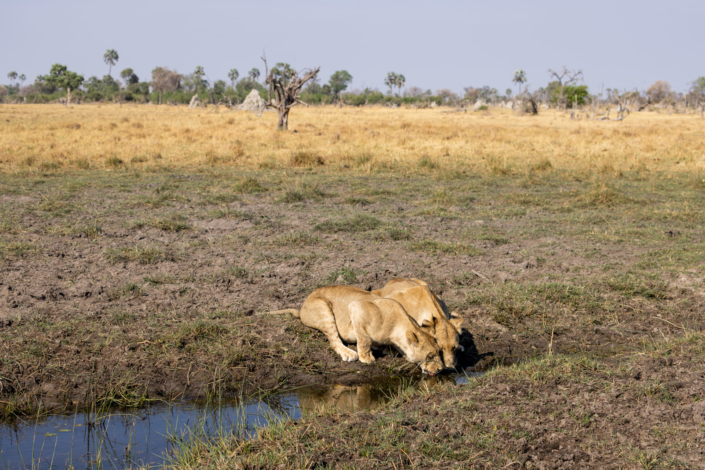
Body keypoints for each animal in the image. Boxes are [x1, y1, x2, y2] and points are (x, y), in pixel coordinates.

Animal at [268, 286, 440, 374]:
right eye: (430, 356)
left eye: (439, 352)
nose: (440, 369)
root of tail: (302, 307)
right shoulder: (356, 307)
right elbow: (364, 339)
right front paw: (367, 357)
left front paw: (389, 350)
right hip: (324, 309)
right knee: (334, 341)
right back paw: (349, 353)